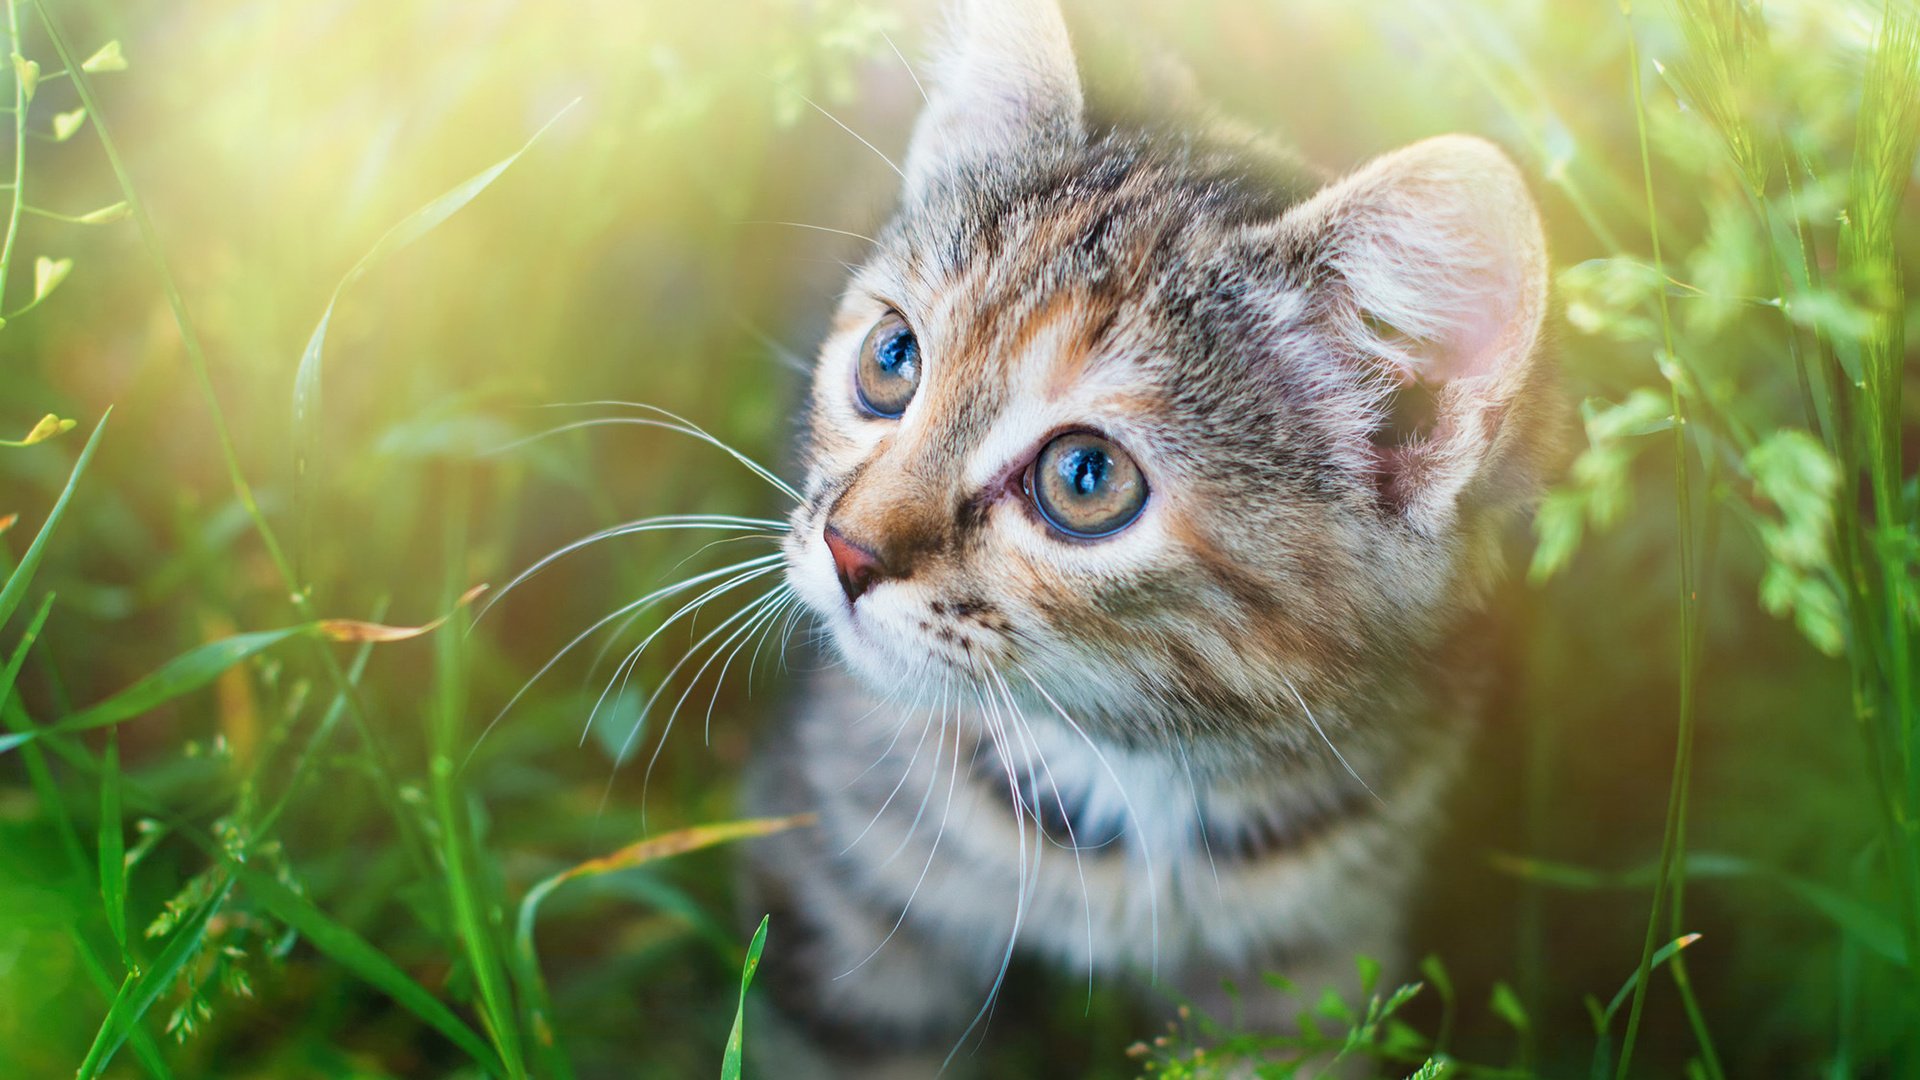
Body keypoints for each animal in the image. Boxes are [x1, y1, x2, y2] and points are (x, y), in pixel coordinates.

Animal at [741, 0, 1551, 1068]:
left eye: (1086, 477)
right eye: (892, 359)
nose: (848, 549)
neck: (1134, 778)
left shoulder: (1308, 976)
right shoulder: (840, 889)